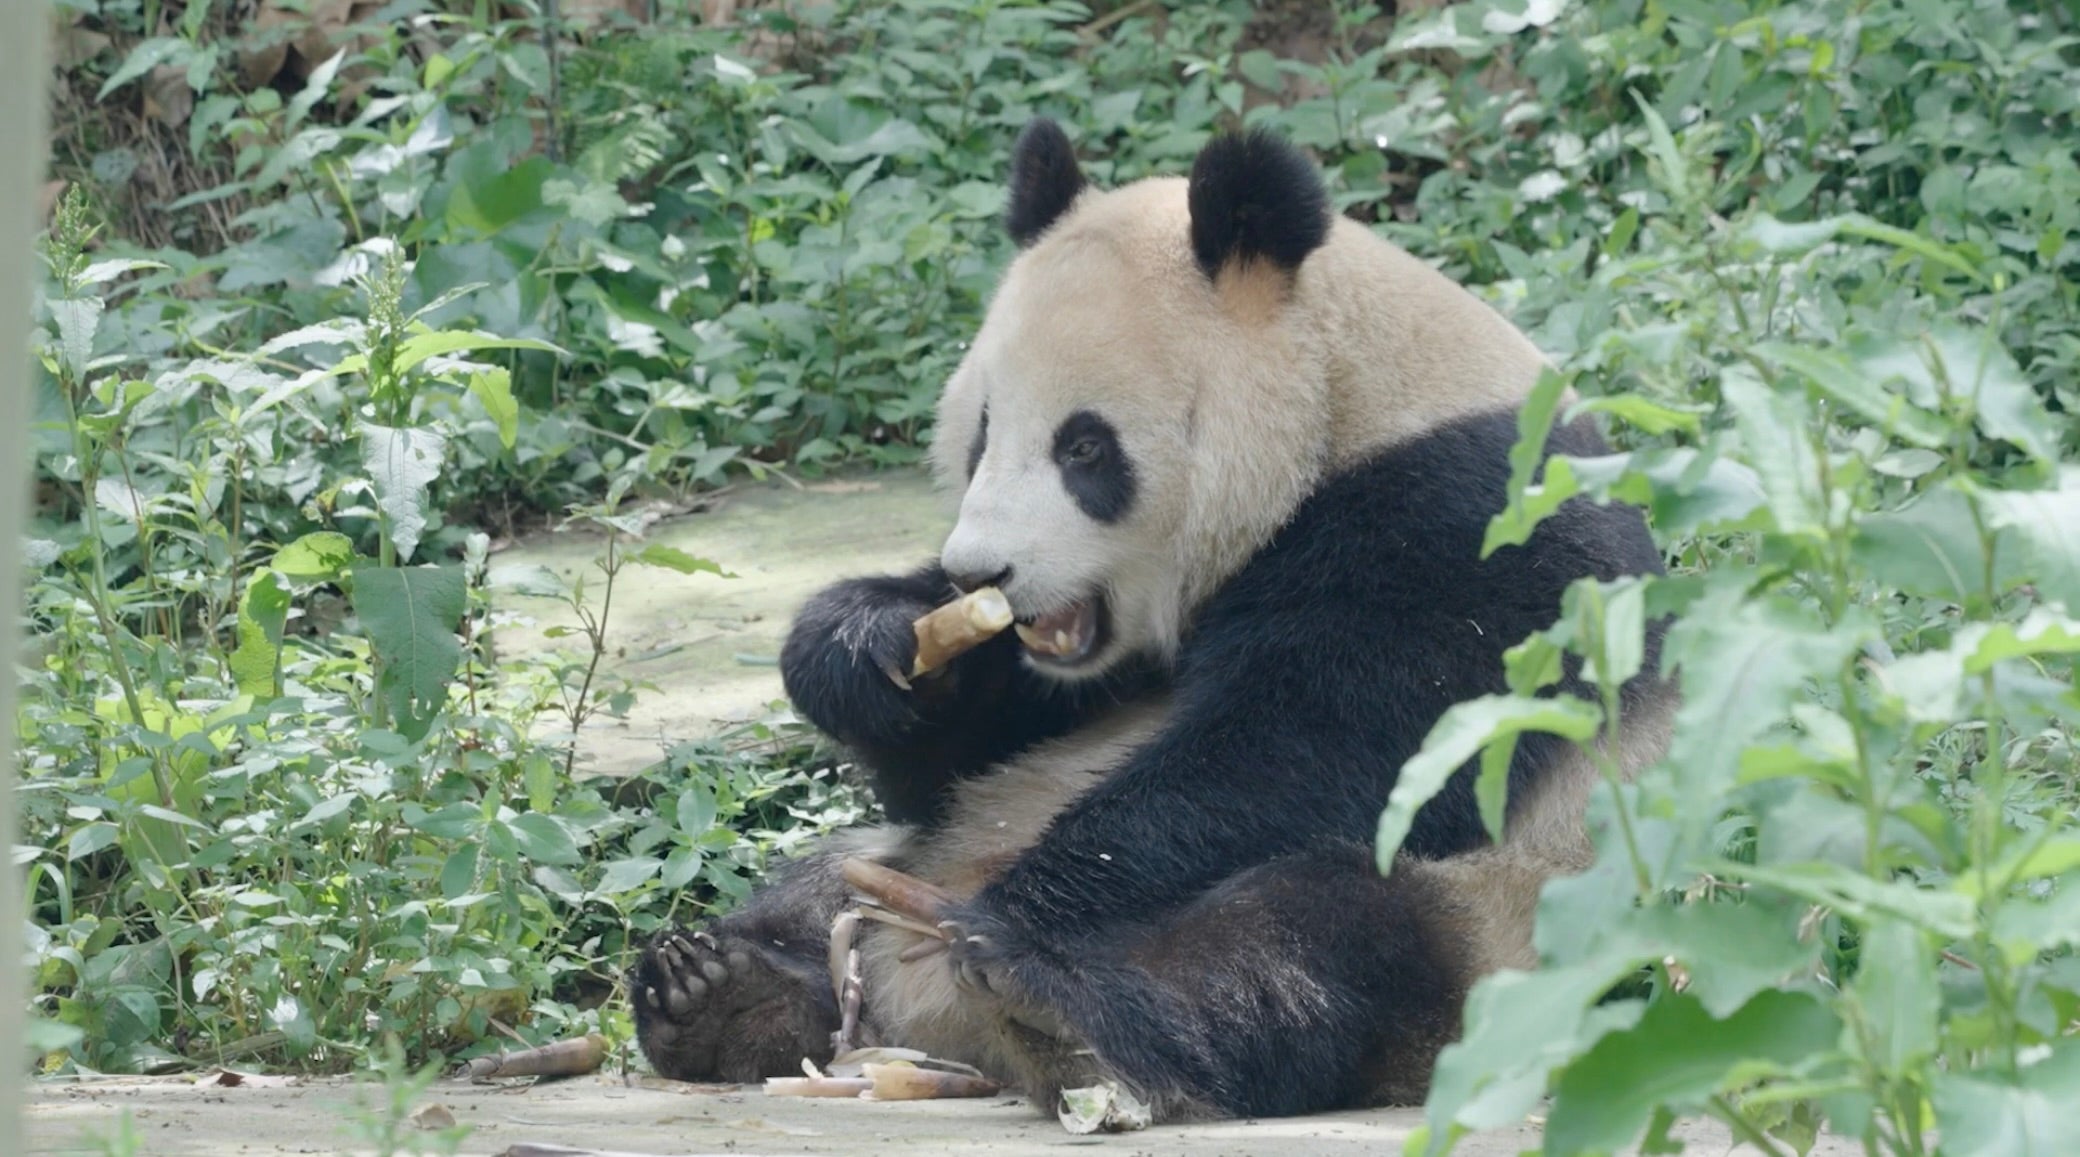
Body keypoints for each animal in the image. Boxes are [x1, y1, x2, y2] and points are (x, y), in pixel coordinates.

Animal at [628, 117, 1672, 1123]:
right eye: (982, 433)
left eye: (1084, 448)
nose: (979, 568)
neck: (1351, 401)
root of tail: (930, 1026)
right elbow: (954, 755)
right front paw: (868, 648)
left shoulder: (1470, 537)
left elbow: (1315, 755)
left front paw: (1029, 904)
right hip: (897, 859)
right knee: (824, 881)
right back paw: (722, 990)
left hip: (1505, 928)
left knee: (1307, 936)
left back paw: (1051, 1004)